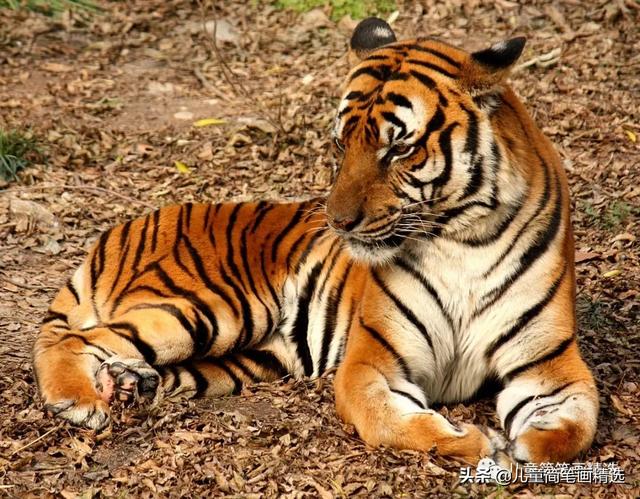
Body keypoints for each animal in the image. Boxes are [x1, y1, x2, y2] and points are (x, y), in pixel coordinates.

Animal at [33, 17, 598, 465]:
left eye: (399, 149)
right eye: (341, 143)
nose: (339, 222)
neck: (462, 240)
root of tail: (118, 231)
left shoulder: (549, 363)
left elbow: (577, 426)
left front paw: (524, 445)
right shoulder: (372, 359)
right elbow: (390, 419)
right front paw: (478, 444)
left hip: (251, 356)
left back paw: (130, 385)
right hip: (210, 307)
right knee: (72, 338)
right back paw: (78, 401)